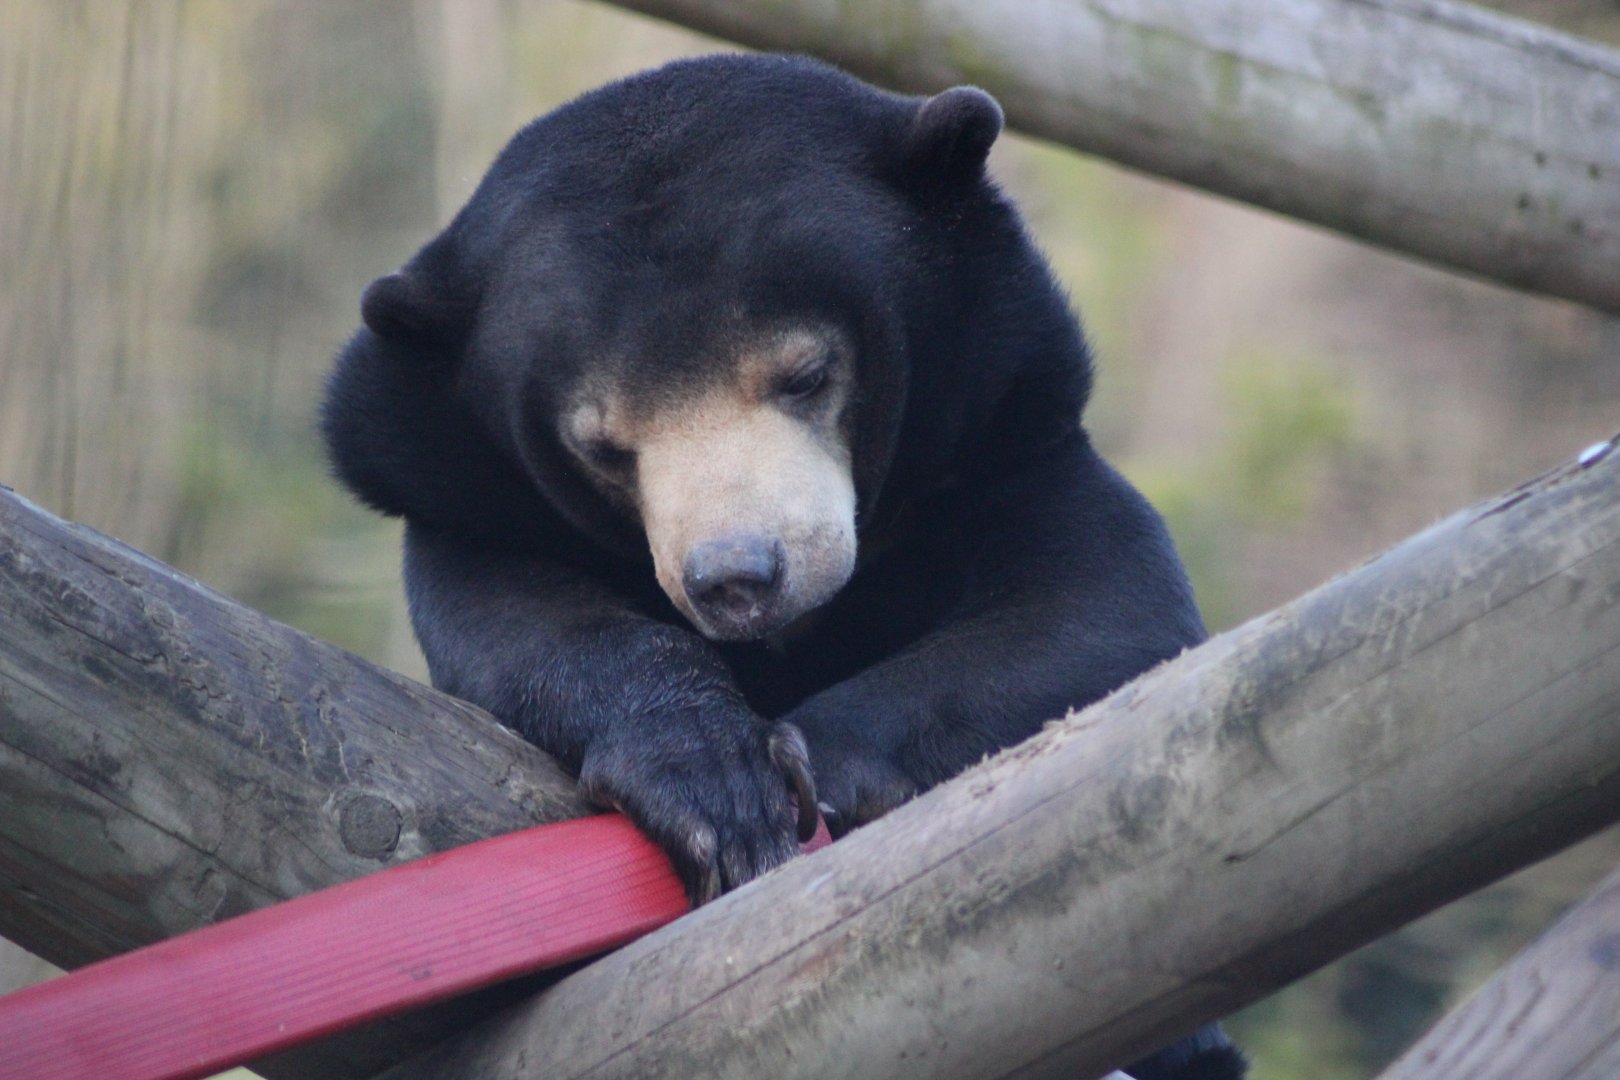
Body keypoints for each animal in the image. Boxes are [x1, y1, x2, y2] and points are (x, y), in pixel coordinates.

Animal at [322, 54, 1244, 1080]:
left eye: (805, 376)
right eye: (603, 446)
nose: (738, 578)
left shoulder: (1002, 431)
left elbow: (1103, 604)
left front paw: (808, 765)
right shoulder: (449, 480)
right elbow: (514, 618)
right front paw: (713, 785)